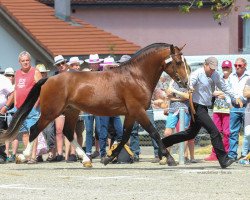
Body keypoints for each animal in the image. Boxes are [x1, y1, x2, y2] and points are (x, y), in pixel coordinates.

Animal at [0, 43, 189, 167]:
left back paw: (86, 159)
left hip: (71, 112)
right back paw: (22, 157)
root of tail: (48, 79)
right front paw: (170, 159)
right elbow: (153, 132)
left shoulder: (131, 113)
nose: (186, 83)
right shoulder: (138, 111)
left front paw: (108, 158)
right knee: (34, 130)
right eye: (178, 62)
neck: (136, 76)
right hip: (51, 112)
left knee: (68, 132)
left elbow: (124, 136)